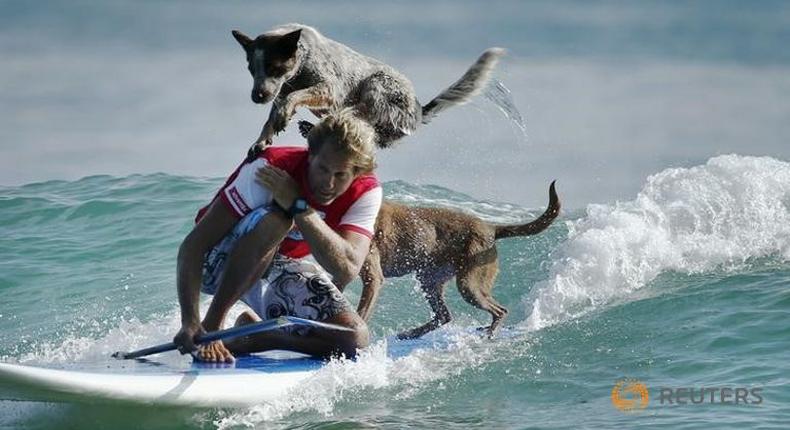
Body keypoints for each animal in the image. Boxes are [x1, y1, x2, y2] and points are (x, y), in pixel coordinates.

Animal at [234, 24, 508, 151]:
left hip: (376, 86)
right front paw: (262, 140)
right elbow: (276, 109)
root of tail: (419, 112)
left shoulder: (328, 89)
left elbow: (295, 96)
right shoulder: (279, 91)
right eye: (251, 69)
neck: (303, 57)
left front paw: (283, 116)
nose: (257, 96)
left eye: (274, 67)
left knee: (363, 119)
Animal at [356, 181, 560, 340]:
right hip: (429, 279)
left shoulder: (373, 278)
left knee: (499, 310)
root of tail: (491, 228)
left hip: (469, 284)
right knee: (444, 315)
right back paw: (410, 334)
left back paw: (489, 333)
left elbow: (361, 315)